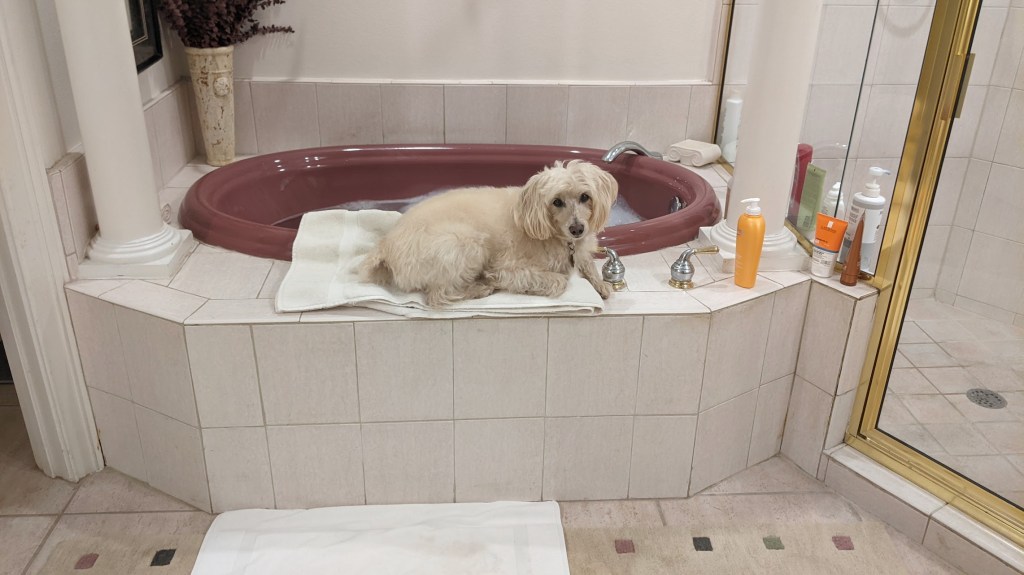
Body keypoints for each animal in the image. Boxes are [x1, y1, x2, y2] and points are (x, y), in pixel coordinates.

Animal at [359, 159, 618, 307]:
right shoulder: (507, 268)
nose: (578, 229)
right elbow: (558, 281)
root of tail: (384, 247)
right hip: (468, 243)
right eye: (556, 202)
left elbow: (588, 264)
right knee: (438, 296)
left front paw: (600, 284)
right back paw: (479, 288)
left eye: (585, 196)